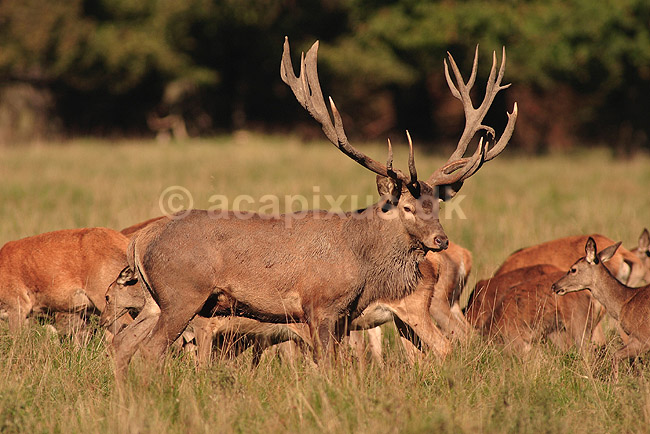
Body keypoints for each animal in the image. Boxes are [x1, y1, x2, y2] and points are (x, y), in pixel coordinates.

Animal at [108, 37, 517, 380]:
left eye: (437, 205)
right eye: (406, 207)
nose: (440, 240)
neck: (360, 260)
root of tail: (139, 241)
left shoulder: (344, 314)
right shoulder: (321, 304)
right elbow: (328, 365)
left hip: (156, 300)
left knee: (123, 343)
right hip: (183, 293)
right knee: (150, 350)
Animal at [552, 237, 650, 378]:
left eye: (573, 269)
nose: (555, 286)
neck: (623, 302)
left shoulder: (642, 337)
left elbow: (615, 356)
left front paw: (615, 381)